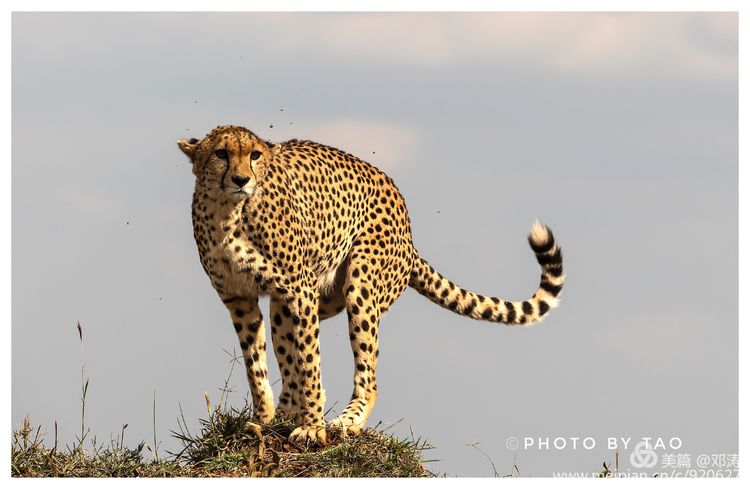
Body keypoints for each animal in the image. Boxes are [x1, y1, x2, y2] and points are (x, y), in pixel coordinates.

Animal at [176, 125, 564, 442]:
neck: (227, 212)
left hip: (359, 289)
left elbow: (310, 362)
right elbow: (256, 364)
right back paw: (285, 414)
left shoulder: (299, 290)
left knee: (367, 376)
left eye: (254, 155)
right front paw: (263, 418)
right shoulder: (239, 299)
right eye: (221, 154)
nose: (242, 179)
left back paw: (344, 422)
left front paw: (312, 428)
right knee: (289, 355)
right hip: (302, 301)